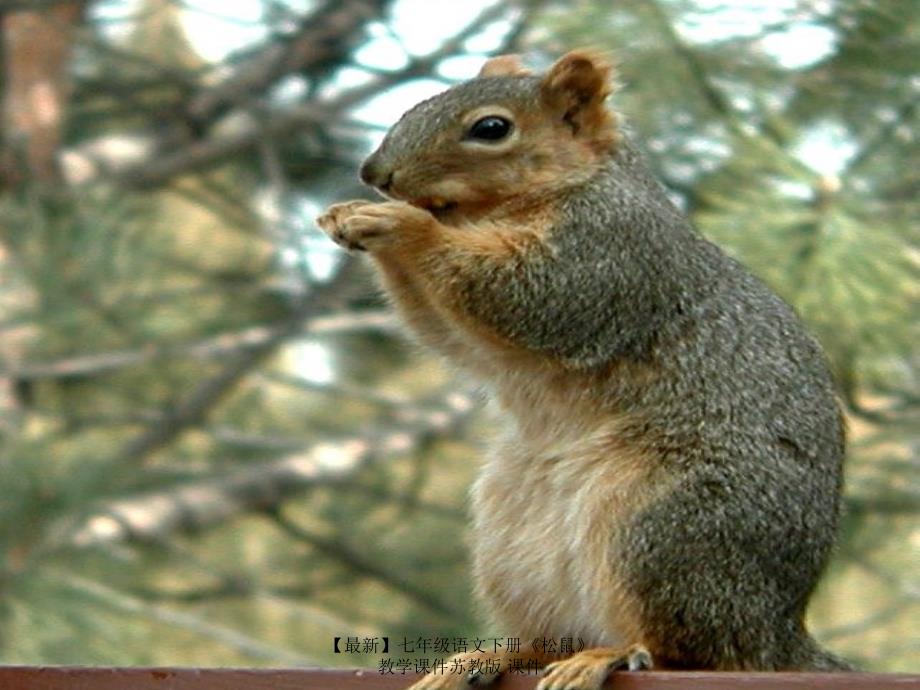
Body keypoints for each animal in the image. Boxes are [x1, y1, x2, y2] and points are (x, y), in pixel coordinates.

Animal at [318, 49, 856, 688]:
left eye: (491, 128)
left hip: (661, 526)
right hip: (512, 542)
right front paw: (350, 216)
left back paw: (609, 655)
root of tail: (778, 632)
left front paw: (402, 225)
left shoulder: (606, 252)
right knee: (548, 639)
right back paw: (484, 658)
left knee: (688, 649)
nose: (375, 174)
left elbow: (530, 293)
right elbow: (451, 335)